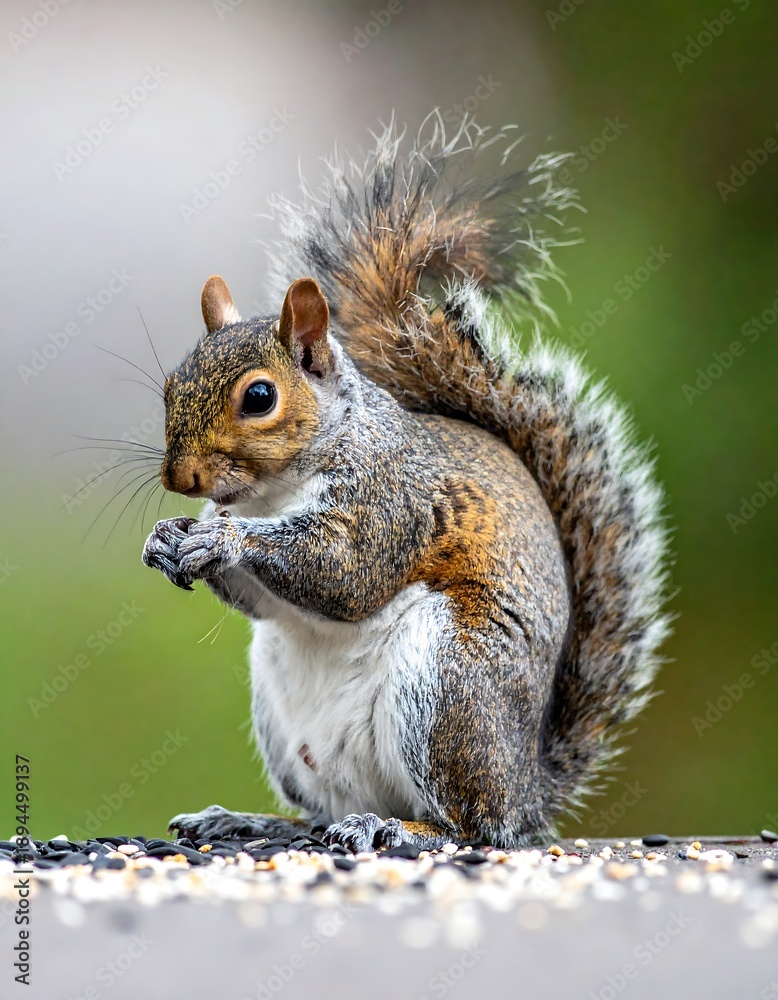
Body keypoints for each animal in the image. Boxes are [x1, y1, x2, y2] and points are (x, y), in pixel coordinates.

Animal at [142, 116, 670, 852]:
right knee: (321, 812)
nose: (179, 476)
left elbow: (347, 572)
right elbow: (266, 601)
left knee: (469, 825)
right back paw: (250, 820)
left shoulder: (390, 502)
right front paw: (167, 537)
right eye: (171, 386)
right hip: (291, 726)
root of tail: (527, 790)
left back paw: (404, 829)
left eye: (260, 397)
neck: (273, 494)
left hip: (447, 686)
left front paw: (224, 541)